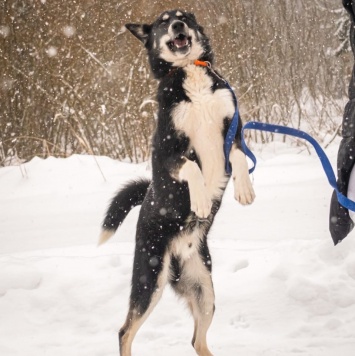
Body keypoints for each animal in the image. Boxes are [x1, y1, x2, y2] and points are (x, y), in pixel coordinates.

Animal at [100, 9, 256, 356]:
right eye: (162, 22)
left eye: (186, 16)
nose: (178, 25)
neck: (189, 71)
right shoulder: (167, 151)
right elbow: (193, 169)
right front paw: (200, 200)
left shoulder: (233, 132)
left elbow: (240, 158)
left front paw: (244, 189)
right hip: (149, 281)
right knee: (124, 331)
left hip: (205, 291)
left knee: (197, 339)